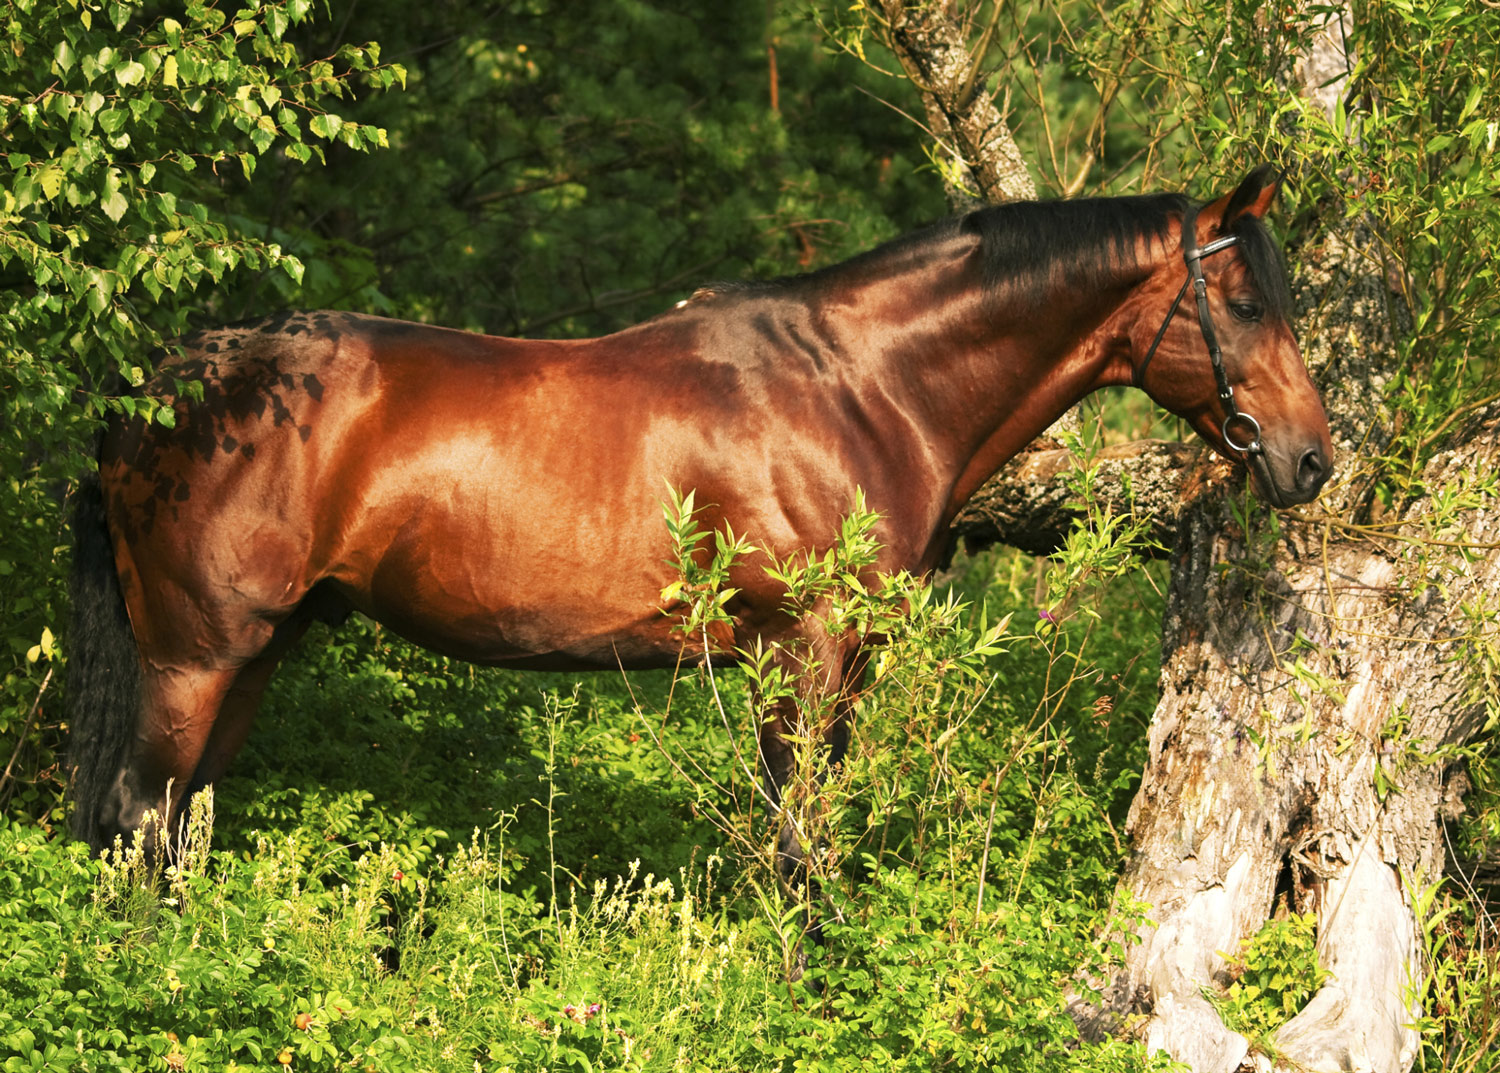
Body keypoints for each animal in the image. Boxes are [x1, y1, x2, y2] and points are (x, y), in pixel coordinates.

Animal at [68, 166, 1332, 857]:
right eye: (1241, 299)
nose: (1311, 459)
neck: (862, 386)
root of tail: (157, 385)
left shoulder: (847, 664)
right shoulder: (805, 652)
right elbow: (794, 839)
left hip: (261, 647)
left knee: (178, 820)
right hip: (197, 652)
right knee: (141, 813)